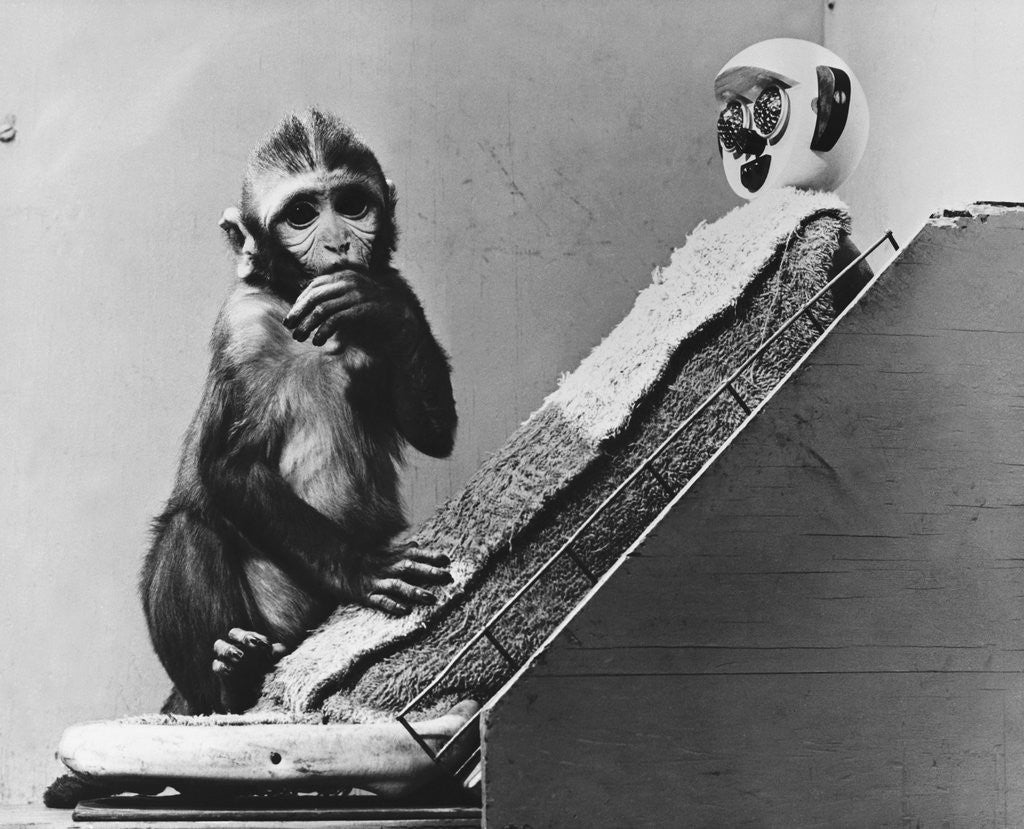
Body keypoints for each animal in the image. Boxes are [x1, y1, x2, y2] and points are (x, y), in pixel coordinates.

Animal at [139, 109, 457, 716]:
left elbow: (434, 431)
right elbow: (229, 466)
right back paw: (231, 680)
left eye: (353, 205)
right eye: (301, 215)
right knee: (188, 528)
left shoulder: (393, 280)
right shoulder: (242, 329)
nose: (337, 242)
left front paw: (382, 309)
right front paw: (361, 568)